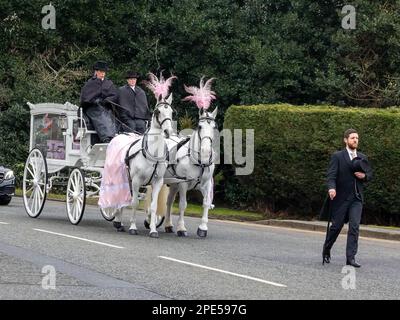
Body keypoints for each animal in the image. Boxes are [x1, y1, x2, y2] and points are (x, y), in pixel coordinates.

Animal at [113, 94, 174, 236]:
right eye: (158, 112)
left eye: (171, 112)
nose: (168, 131)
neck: (152, 153)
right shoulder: (136, 181)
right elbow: (134, 203)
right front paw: (133, 227)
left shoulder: (157, 182)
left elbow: (153, 206)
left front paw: (153, 229)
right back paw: (117, 220)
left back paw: (119, 223)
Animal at [162, 107, 219, 238]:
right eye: (200, 126)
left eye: (214, 127)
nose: (205, 151)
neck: (199, 161)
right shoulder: (183, 184)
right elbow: (183, 205)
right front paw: (181, 228)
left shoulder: (206, 184)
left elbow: (206, 203)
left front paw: (203, 227)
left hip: (173, 184)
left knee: (169, 202)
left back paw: (168, 225)